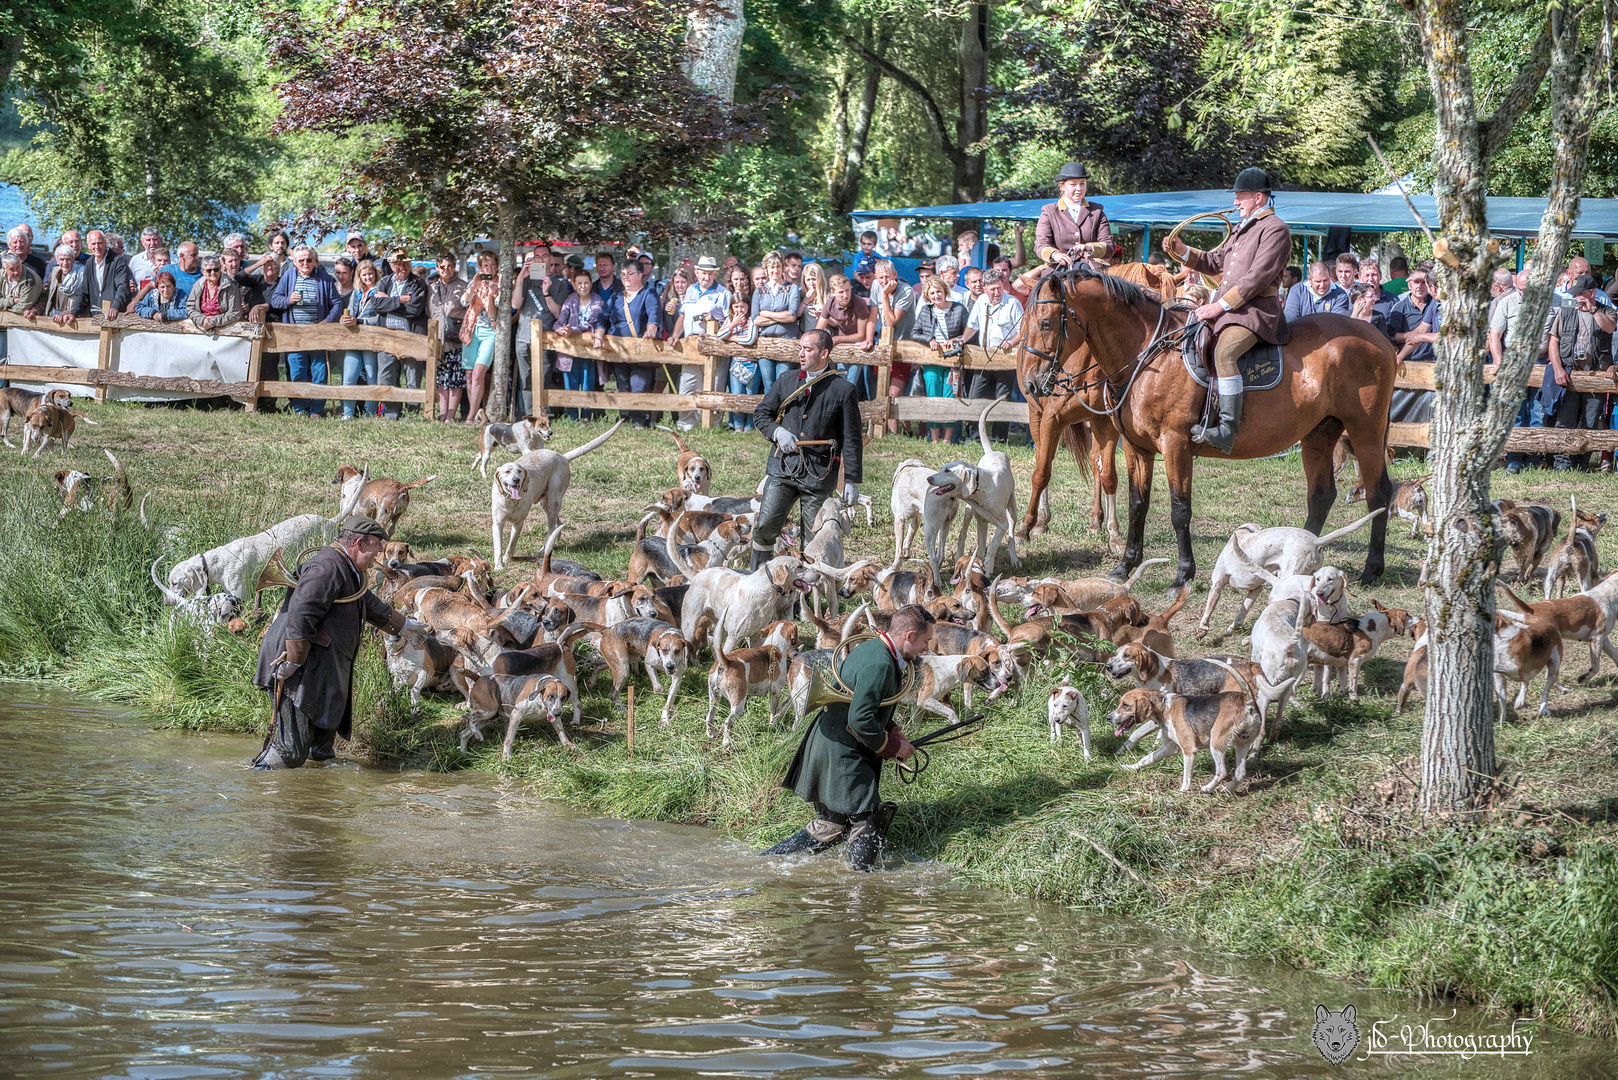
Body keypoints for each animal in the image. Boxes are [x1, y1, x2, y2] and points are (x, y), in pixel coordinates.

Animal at [488, 424, 621, 573]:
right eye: (507, 471)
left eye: (519, 471)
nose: (516, 480)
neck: (510, 501)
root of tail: (562, 456)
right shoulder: (497, 523)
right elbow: (498, 547)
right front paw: (498, 565)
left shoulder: (518, 523)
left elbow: (512, 544)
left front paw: (506, 558)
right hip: (545, 503)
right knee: (558, 524)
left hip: (553, 500)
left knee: (551, 527)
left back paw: (543, 550)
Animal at [1022, 265, 1391, 586]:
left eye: (1046, 323)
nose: (1030, 384)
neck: (1148, 355)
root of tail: (1377, 336)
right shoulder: (1137, 447)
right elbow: (1137, 504)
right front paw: (1125, 566)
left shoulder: (1176, 444)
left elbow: (1179, 509)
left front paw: (1182, 575)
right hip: (1319, 434)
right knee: (1321, 494)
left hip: (1365, 433)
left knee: (1378, 493)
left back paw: (1372, 571)